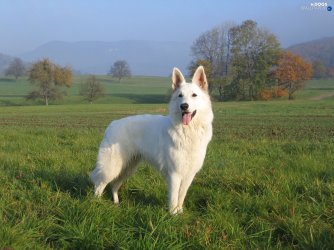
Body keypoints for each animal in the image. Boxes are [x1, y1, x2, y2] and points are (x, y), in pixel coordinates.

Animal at [90, 66, 213, 215]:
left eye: (194, 95)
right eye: (180, 96)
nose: (184, 106)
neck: (188, 132)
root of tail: (112, 125)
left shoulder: (189, 174)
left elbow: (181, 196)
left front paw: (180, 212)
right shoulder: (174, 174)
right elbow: (174, 197)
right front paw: (173, 214)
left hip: (127, 168)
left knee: (114, 185)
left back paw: (116, 203)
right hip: (112, 168)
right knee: (99, 185)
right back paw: (96, 205)